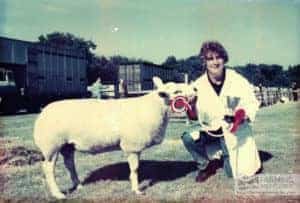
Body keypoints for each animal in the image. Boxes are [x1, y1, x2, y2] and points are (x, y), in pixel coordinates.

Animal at [34, 77, 197, 199]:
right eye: (177, 91)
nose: (195, 92)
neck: (154, 108)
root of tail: (42, 113)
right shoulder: (132, 146)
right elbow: (135, 169)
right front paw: (136, 190)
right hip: (51, 146)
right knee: (49, 169)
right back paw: (58, 194)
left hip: (67, 145)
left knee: (69, 165)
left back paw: (78, 185)